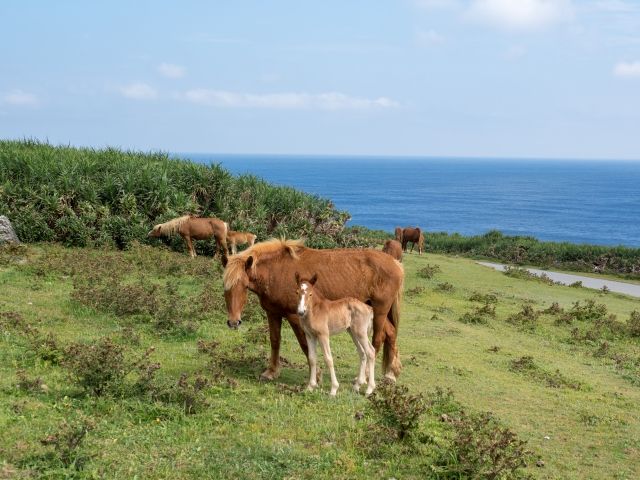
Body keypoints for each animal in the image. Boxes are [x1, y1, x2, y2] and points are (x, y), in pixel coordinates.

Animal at [222, 240, 402, 382]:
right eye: (225, 287)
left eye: (244, 286)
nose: (233, 322)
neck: (276, 271)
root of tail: (395, 263)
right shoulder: (273, 313)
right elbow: (275, 341)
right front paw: (271, 372)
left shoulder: (295, 316)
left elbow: (304, 344)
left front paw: (316, 375)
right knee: (391, 333)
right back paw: (391, 373)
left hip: (379, 311)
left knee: (377, 340)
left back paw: (364, 376)